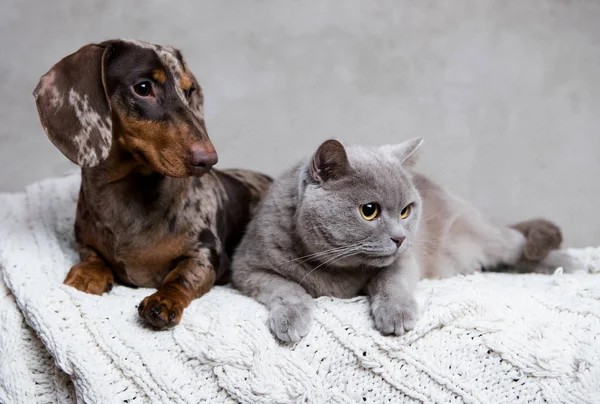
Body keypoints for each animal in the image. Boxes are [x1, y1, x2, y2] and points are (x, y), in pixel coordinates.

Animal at [34, 38, 274, 328]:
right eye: (143, 88)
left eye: (189, 90)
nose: (209, 160)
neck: (125, 196)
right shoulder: (84, 242)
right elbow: (92, 255)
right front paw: (88, 274)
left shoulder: (206, 253)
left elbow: (181, 276)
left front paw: (165, 299)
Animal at [230, 139, 572, 340]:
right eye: (369, 211)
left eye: (407, 210)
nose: (400, 237)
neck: (336, 271)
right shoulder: (247, 269)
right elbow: (287, 288)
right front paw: (292, 321)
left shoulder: (406, 259)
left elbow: (389, 280)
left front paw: (396, 315)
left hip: (488, 235)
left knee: (519, 243)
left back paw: (570, 262)